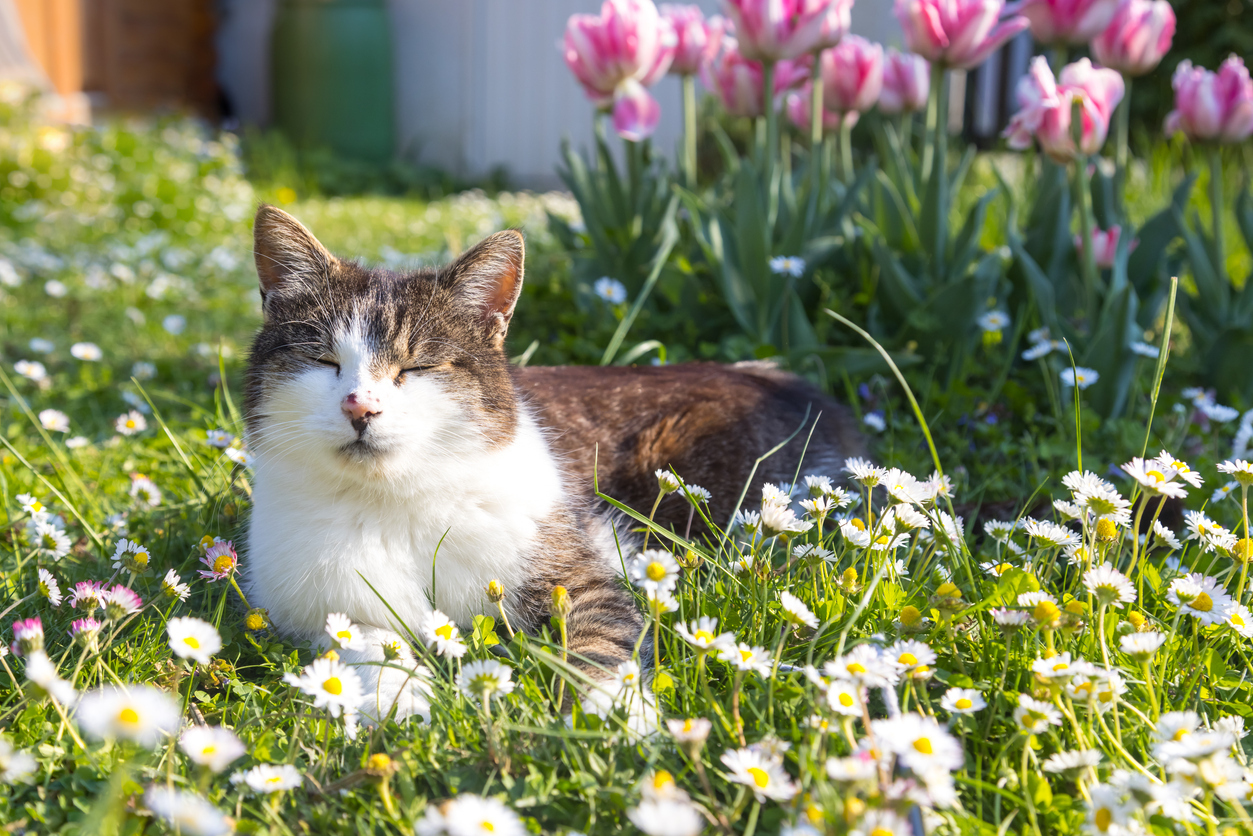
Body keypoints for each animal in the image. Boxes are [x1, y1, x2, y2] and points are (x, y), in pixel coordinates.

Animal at [241, 205, 862, 721]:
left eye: (416, 368)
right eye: (323, 360)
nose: (360, 407)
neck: (394, 499)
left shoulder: (581, 578)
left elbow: (598, 648)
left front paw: (612, 720)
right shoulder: (327, 608)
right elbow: (368, 646)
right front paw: (400, 700)